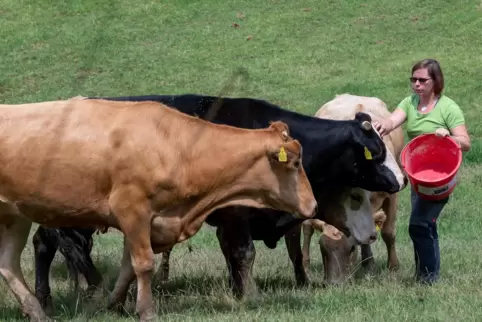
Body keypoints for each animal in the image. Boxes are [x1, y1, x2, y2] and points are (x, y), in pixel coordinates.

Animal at [0, 97, 316, 320]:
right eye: (296, 162)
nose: (313, 205)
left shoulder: (149, 221)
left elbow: (128, 267)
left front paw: (114, 304)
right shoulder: (132, 210)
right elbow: (143, 264)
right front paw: (147, 311)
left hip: (14, 216)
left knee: (8, 264)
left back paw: (36, 311)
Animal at [33, 94, 406, 308]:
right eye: (376, 152)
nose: (402, 180)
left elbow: (236, 255)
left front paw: (237, 289)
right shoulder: (236, 214)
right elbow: (243, 253)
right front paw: (251, 296)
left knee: (44, 242)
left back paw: (46, 297)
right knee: (69, 245)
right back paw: (96, 290)